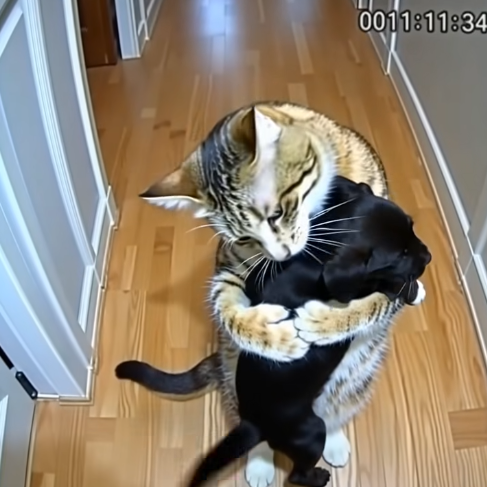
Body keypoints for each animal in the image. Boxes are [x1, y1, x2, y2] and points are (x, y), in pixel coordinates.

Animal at [132, 101, 404, 485]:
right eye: (245, 237)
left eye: (276, 214)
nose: (282, 255)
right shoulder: (233, 268)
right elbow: (227, 306)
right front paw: (276, 337)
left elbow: (374, 304)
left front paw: (324, 321)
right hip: (236, 373)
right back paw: (261, 463)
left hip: (359, 374)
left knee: (339, 402)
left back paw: (334, 438)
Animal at [183, 177, 430, 487]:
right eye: (401, 255)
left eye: (412, 227)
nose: (429, 257)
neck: (315, 260)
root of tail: (254, 424)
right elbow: (383, 285)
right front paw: (408, 288)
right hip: (312, 432)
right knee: (297, 474)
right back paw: (319, 476)